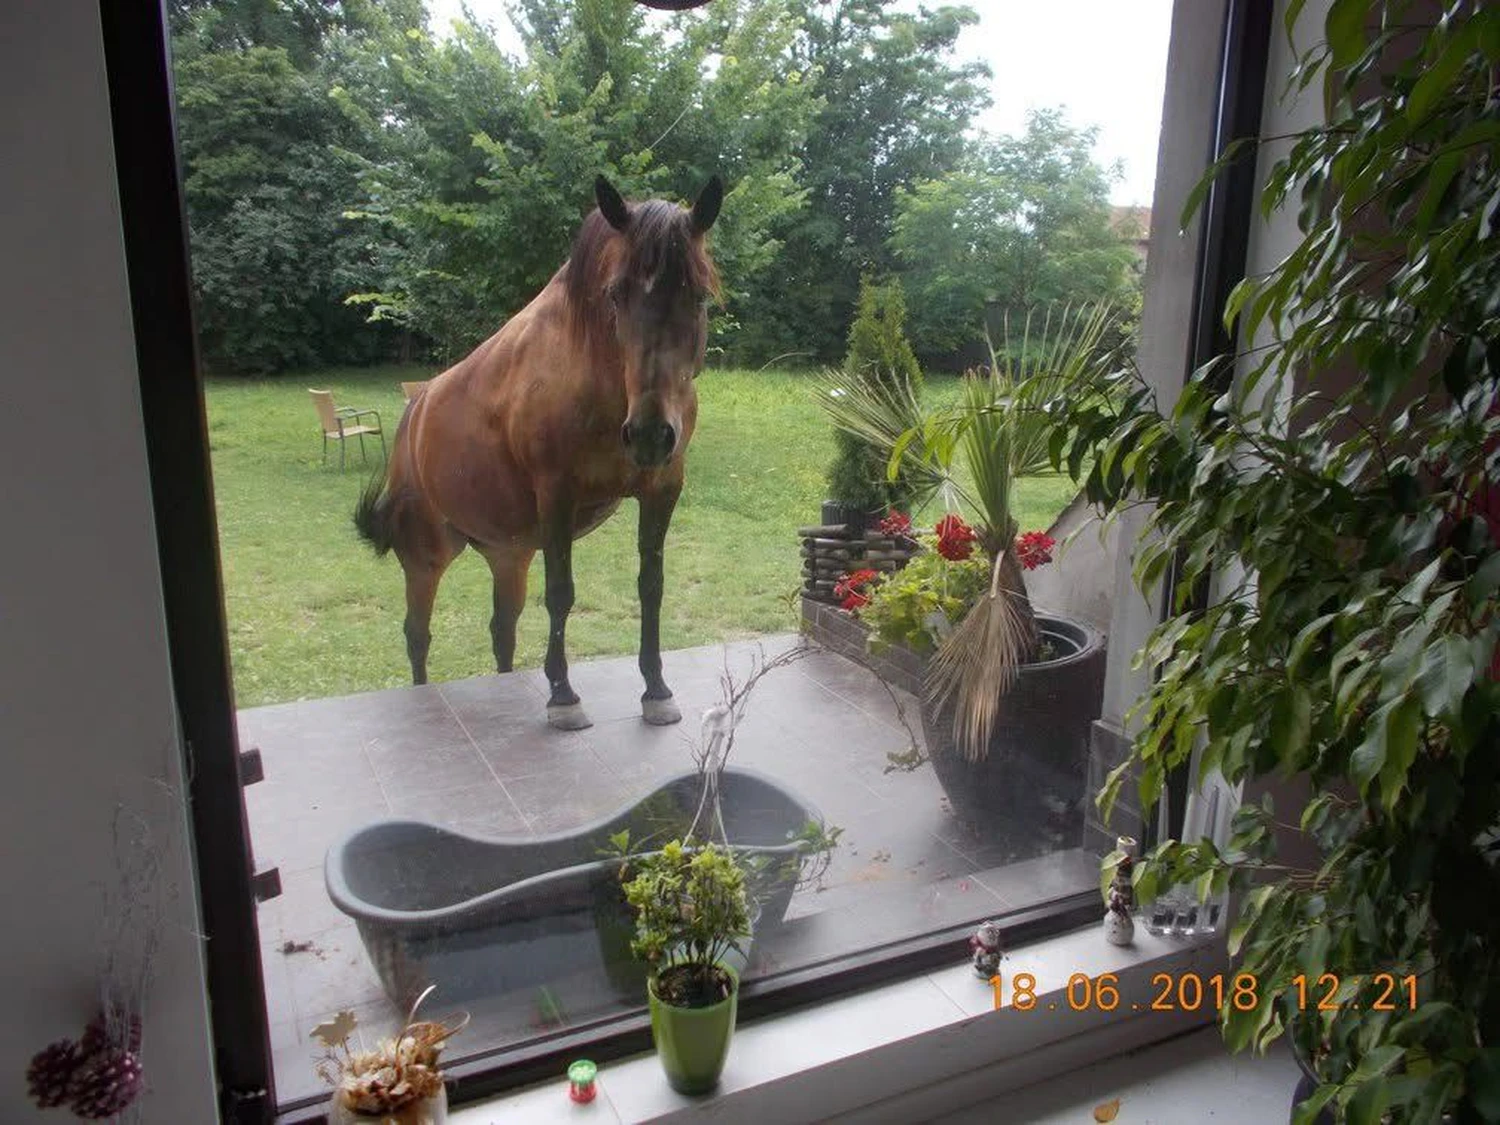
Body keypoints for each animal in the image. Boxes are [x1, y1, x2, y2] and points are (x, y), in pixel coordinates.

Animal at [354, 174, 722, 731]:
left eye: (698, 295)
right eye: (616, 294)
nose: (649, 434)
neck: (597, 379)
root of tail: (414, 412)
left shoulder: (662, 490)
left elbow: (651, 585)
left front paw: (656, 689)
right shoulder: (557, 496)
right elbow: (561, 594)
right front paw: (563, 695)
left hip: (509, 554)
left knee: (501, 630)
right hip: (426, 556)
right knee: (417, 635)